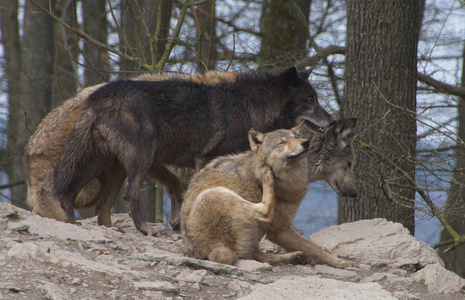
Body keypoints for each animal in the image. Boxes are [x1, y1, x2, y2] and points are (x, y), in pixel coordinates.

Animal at [20, 71, 236, 229]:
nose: (175, 226)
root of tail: (32, 149)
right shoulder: (150, 160)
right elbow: (178, 186)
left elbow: (177, 186)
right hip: (93, 186)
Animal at [181, 118, 356, 268]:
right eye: (282, 143)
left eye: (296, 137)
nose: (305, 142)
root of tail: (210, 248)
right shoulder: (280, 229)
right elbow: (315, 248)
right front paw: (341, 262)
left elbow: (313, 247)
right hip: (213, 194)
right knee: (264, 212)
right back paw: (267, 176)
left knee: (256, 255)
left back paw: (296, 256)